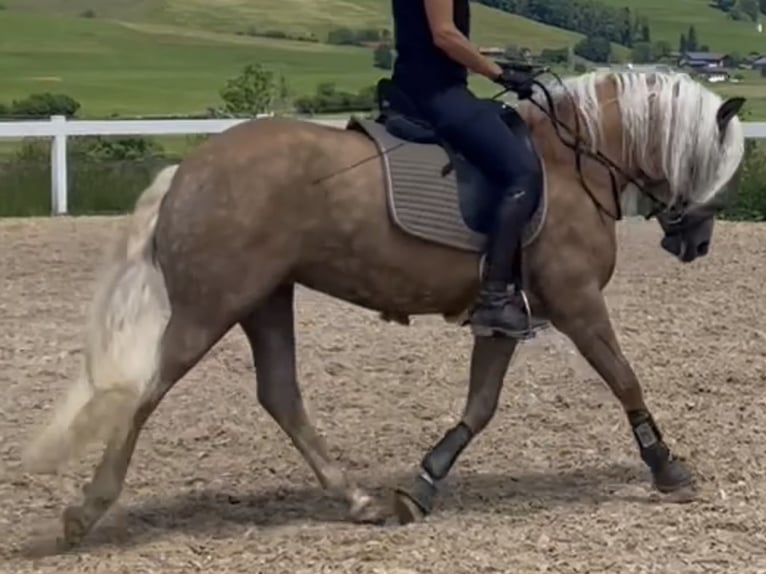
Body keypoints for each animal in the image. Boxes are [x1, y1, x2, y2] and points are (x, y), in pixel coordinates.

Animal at [22, 70, 744, 548]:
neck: (573, 164)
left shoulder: (506, 316)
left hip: (265, 299)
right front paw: (668, 468)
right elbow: (625, 378)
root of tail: (189, 169)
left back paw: (358, 498)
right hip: (212, 306)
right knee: (149, 390)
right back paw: (87, 511)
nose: (698, 242)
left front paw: (420, 484)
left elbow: (481, 405)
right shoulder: (577, 301)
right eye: (715, 163)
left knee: (280, 394)